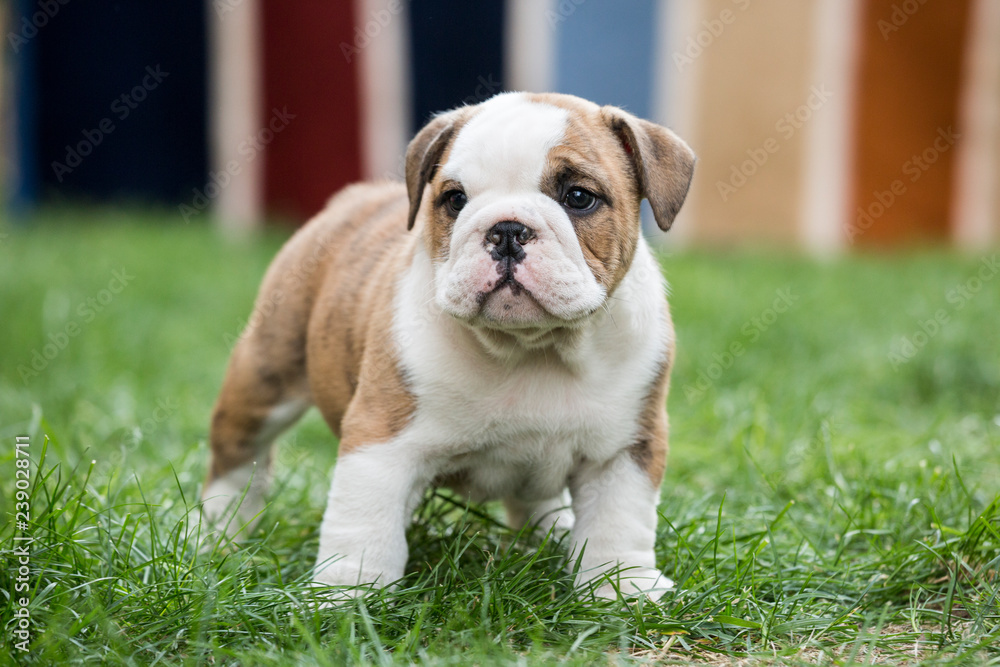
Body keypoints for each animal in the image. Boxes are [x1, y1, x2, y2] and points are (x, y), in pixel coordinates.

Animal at [203, 92, 696, 600]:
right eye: (455, 199)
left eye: (579, 197)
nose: (507, 230)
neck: (530, 346)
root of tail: (353, 199)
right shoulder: (381, 439)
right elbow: (363, 522)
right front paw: (348, 593)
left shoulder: (625, 449)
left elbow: (619, 521)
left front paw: (624, 587)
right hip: (264, 375)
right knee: (237, 463)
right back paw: (217, 537)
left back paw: (555, 535)